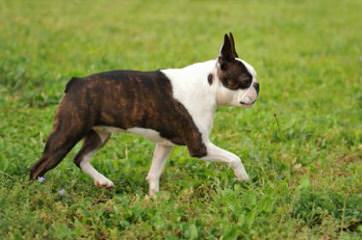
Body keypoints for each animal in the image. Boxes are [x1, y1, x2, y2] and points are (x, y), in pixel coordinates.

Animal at [29, 32, 258, 196]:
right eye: (245, 80)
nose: (258, 86)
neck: (208, 85)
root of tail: (75, 82)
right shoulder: (199, 146)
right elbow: (235, 158)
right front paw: (244, 179)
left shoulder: (165, 144)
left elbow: (154, 172)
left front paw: (154, 198)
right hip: (66, 134)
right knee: (38, 167)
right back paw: (37, 192)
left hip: (99, 135)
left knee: (80, 158)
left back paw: (102, 181)